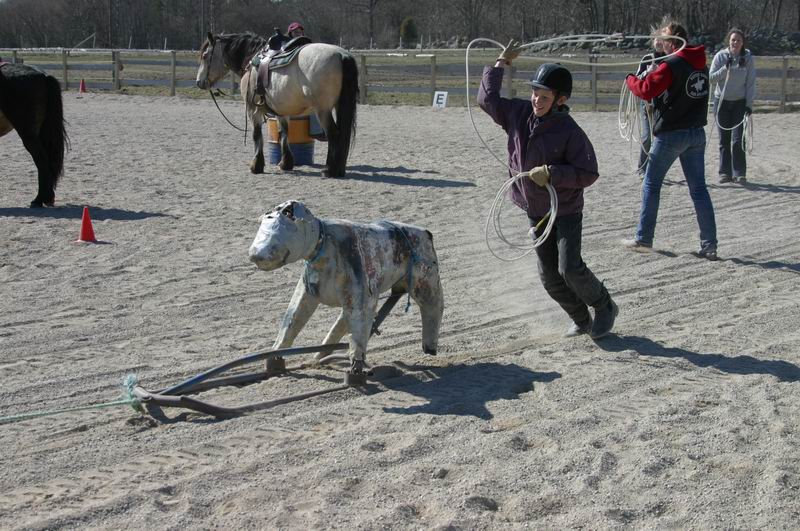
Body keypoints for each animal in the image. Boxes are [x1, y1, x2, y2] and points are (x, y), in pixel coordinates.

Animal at [196, 32, 358, 178]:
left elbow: (256, 135)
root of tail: (341, 55)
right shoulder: (281, 111)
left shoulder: (252, 109)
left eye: (205, 56)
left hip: (322, 111)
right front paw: (286, 163)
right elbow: (284, 133)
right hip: (337, 106)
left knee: (333, 134)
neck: (251, 61)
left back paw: (329, 170)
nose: (199, 82)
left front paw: (256, 165)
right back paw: (339, 170)